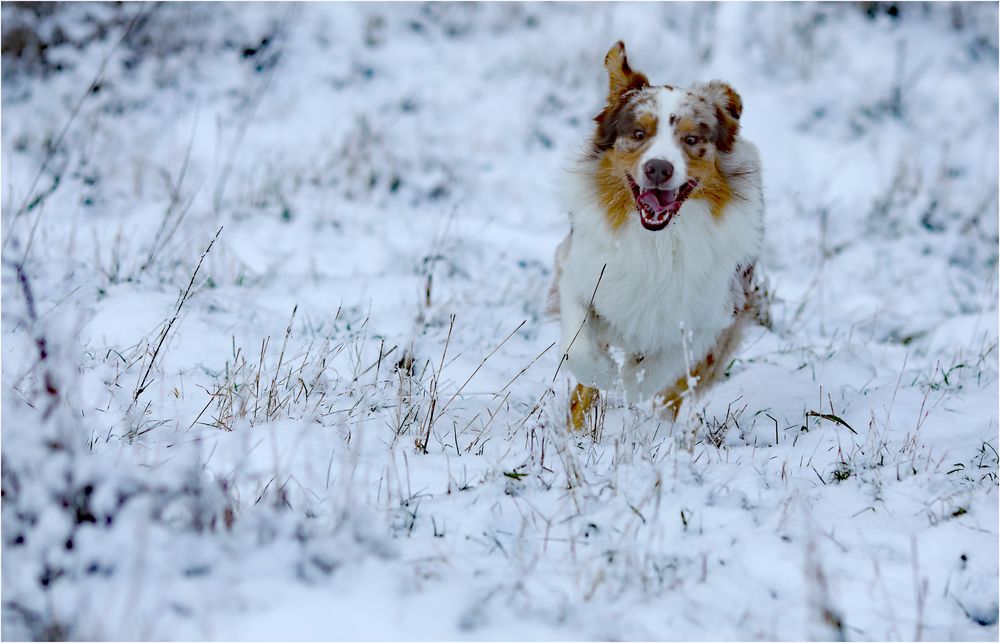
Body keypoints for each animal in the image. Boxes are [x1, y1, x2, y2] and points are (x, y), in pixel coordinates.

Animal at [552, 42, 768, 430]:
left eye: (691, 139)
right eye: (639, 134)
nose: (658, 168)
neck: (657, 242)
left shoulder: (708, 316)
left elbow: (658, 372)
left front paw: (630, 387)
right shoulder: (577, 274)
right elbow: (578, 351)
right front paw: (605, 376)